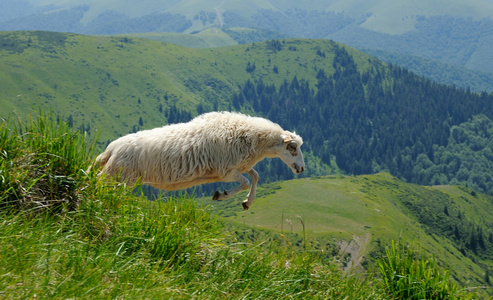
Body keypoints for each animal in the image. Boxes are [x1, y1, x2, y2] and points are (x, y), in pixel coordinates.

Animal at [94, 111, 304, 210]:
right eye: (292, 147)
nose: (301, 169)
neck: (251, 138)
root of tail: (111, 148)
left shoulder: (240, 166)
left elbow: (256, 176)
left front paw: (247, 202)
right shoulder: (226, 171)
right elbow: (245, 182)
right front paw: (221, 194)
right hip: (119, 176)